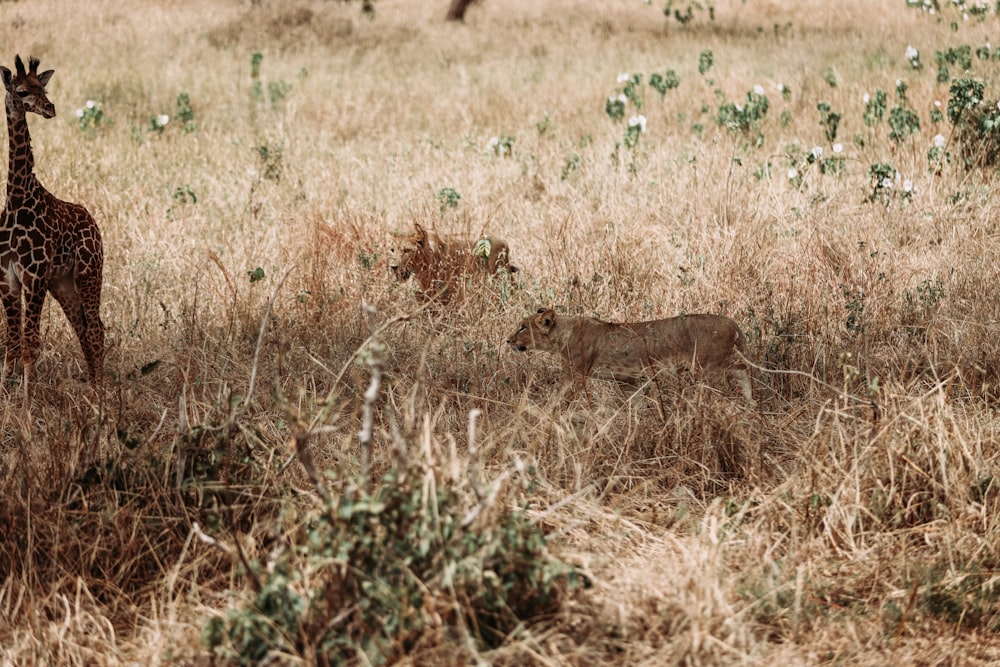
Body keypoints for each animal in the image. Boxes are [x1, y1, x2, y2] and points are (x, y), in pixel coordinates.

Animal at [0, 56, 104, 386]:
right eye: (21, 91)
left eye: (43, 88)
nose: (50, 108)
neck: (17, 196)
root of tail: (94, 223)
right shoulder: (8, 278)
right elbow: (12, 343)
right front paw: (7, 390)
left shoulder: (34, 276)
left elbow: (30, 344)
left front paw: (29, 397)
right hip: (63, 283)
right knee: (84, 326)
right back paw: (93, 384)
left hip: (88, 273)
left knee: (96, 328)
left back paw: (100, 390)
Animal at [512, 308, 752, 408]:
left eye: (522, 327)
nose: (507, 340)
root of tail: (731, 322)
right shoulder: (629, 381)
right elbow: (634, 406)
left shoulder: (574, 374)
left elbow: (557, 399)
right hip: (733, 367)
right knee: (747, 387)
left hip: (707, 371)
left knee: (724, 398)